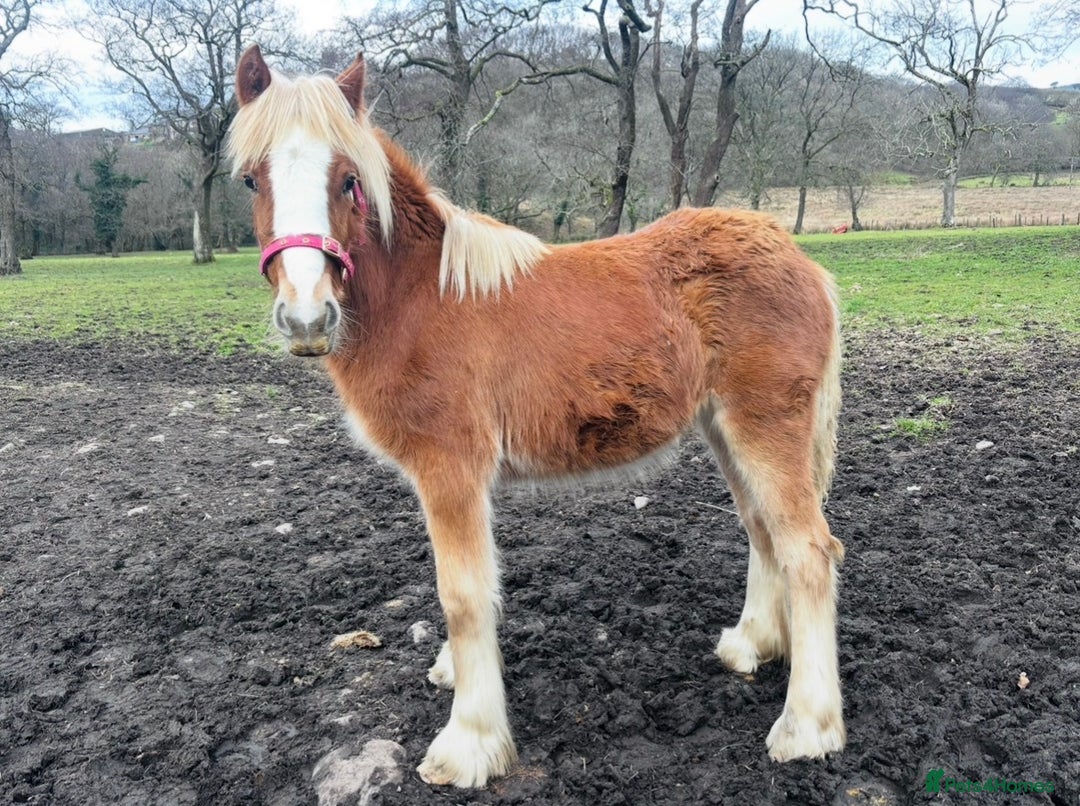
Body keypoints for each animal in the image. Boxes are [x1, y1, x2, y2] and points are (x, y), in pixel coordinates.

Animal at [228, 45, 846, 789]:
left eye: (348, 181)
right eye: (251, 179)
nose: (306, 319)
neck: (421, 298)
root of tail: (801, 261)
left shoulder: (451, 470)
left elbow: (464, 595)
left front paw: (469, 743)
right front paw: (454, 673)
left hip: (765, 428)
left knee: (808, 552)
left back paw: (807, 726)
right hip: (725, 430)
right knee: (763, 531)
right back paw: (751, 646)